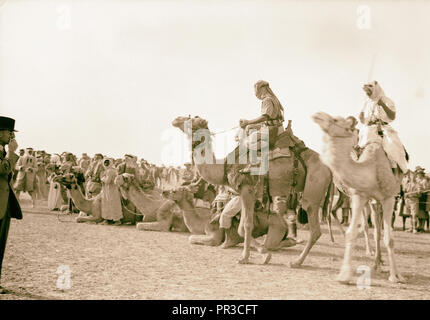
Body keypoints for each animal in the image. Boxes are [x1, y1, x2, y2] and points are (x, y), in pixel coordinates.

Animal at [172, 115, 332, 264]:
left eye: (192, 119)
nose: (176, 119)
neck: (224, 165)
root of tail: (330, 169)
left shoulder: (246, 188)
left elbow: (247, 225)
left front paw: (249, 257)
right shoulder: (246, 194)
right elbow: (241, 228)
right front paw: (258, 254)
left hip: (313, 190)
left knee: (314, 228)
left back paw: (296, 262)